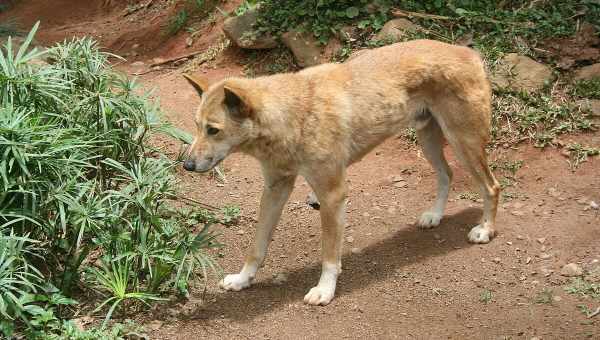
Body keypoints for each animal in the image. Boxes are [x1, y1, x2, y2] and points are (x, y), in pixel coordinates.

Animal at [183, 39, 502, 306]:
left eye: (214, 130)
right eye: (197, 127)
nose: (186, 165)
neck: (294, 114)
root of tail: (467, 51)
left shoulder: (332, 195)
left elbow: (329, 255)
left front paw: (324, 290)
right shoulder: (275, 188)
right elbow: (257, 245)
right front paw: (242, 279)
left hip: (464, 143)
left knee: (492, 187)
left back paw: (485, 229)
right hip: (430, 139)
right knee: (447, 175)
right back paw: (435, 215)